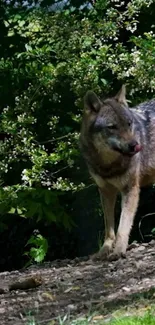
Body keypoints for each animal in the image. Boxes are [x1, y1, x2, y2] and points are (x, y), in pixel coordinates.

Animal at [80, 85, 155, 260]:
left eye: (129, 124)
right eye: (112, 127)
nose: (135, 145)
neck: (108, 165)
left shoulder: (130, 190)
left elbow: (123, 225)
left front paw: (119, 250)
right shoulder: (105, 190)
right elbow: (109, 228)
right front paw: (105, 250)